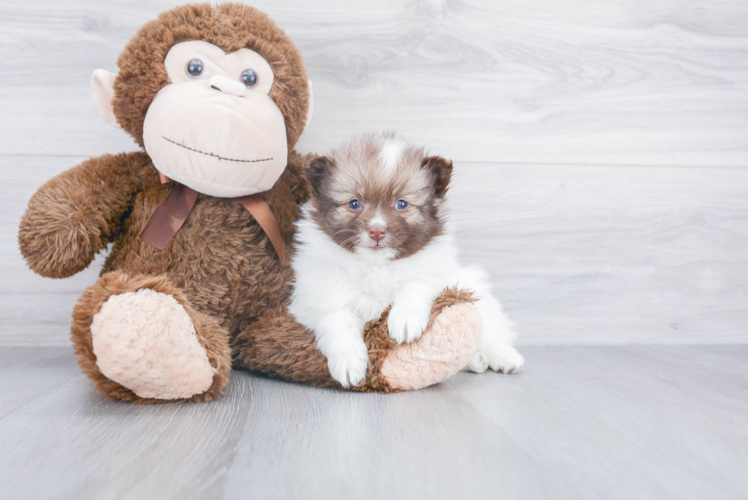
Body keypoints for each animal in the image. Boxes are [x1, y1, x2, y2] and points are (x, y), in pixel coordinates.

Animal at [290, 133, 524, 386]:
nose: (377, 231)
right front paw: (349, 362)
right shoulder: (317, 297)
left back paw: (504, 357)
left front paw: (405, 320)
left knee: (492, 331)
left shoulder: (437, 274)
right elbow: (337, 319)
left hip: (474, 285)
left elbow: (415, 284)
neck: (377, 265)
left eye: (401, 204)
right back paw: (475, 360)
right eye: (354, 203)